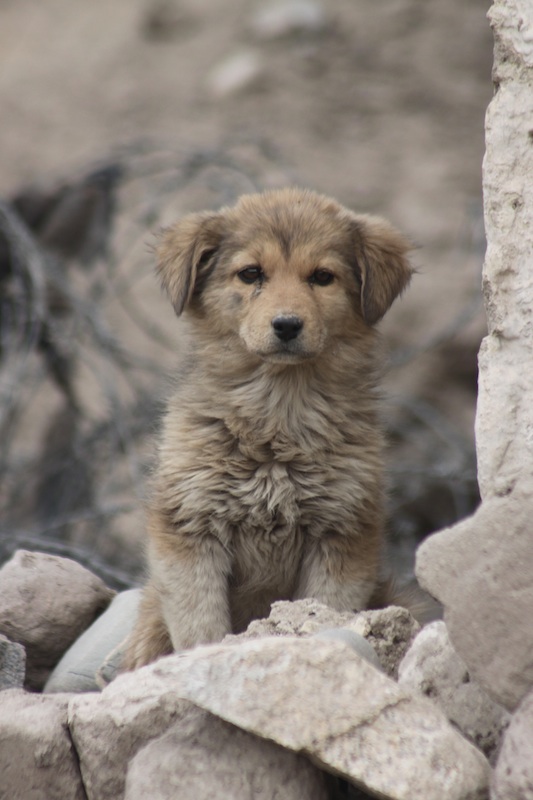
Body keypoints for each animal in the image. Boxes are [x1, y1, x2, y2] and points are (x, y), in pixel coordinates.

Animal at [123, 188, 412, 668]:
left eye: (322, 277)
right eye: (251, 273)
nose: (287, 325)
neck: (278, 414)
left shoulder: (344, 533)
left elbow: (325, 611)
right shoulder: (189, 528)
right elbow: (200, 624)